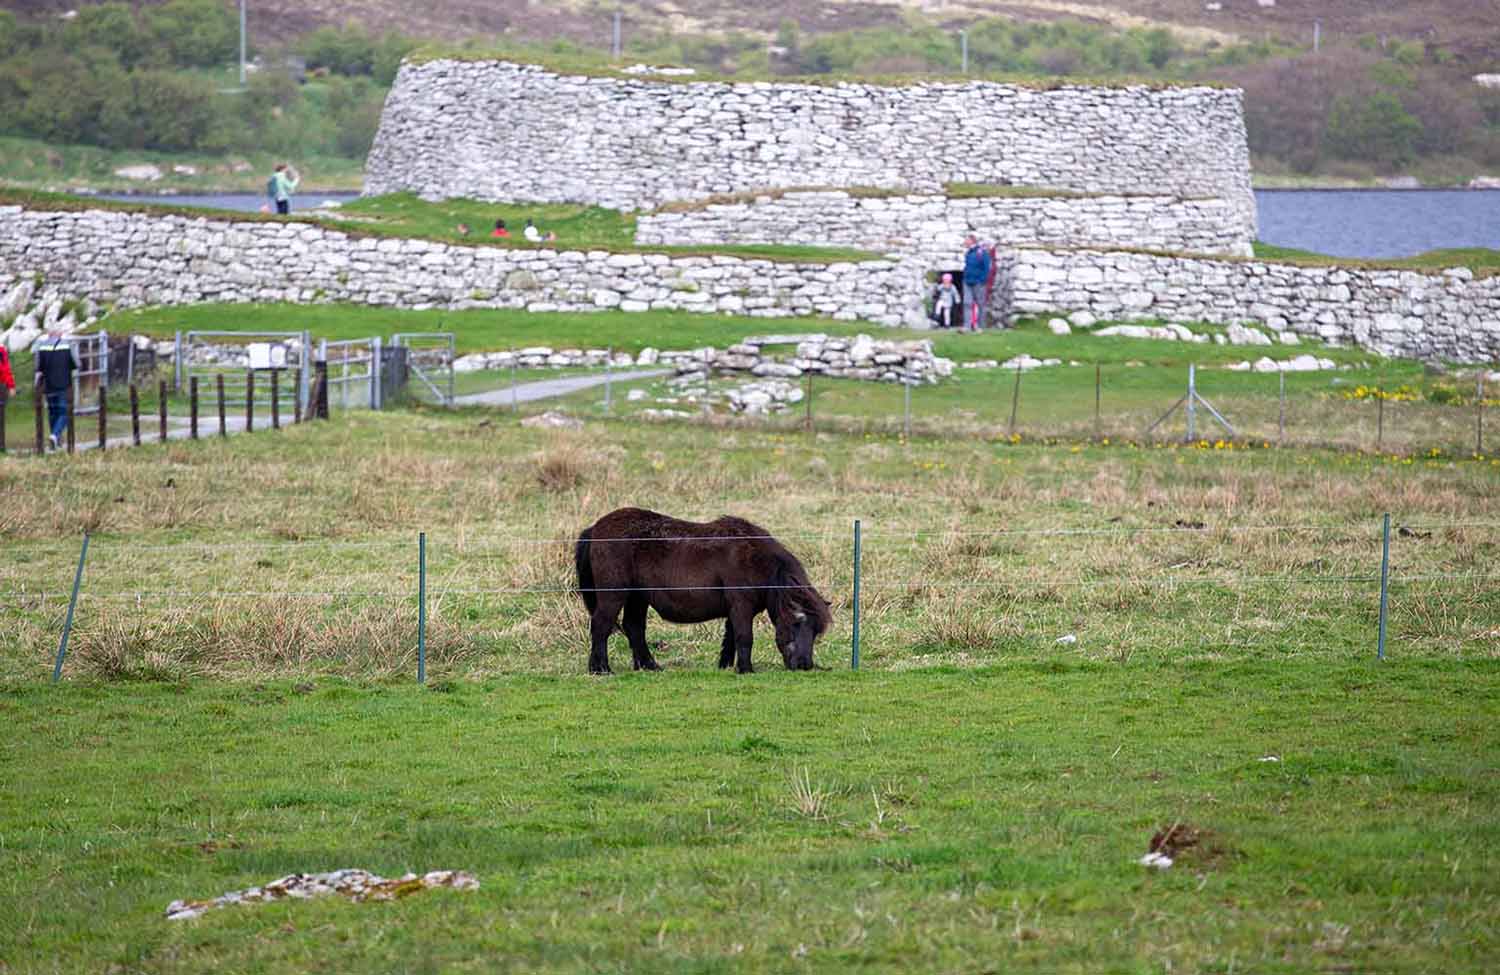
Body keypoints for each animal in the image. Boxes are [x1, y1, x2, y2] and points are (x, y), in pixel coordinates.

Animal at [573, 504, 834, 672]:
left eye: (816, 631)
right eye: (798, 622)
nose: (805, 665)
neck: (760, 562)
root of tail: (594, 529)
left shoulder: (735, 610)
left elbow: (730, 639)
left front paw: (726, 666)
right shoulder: (741, 606)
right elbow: (744, 637)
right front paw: (746, 669)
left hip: (637, 599)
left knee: (634, 628)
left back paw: (649, 666)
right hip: (614, 596)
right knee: (601, 626)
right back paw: (600, 668)